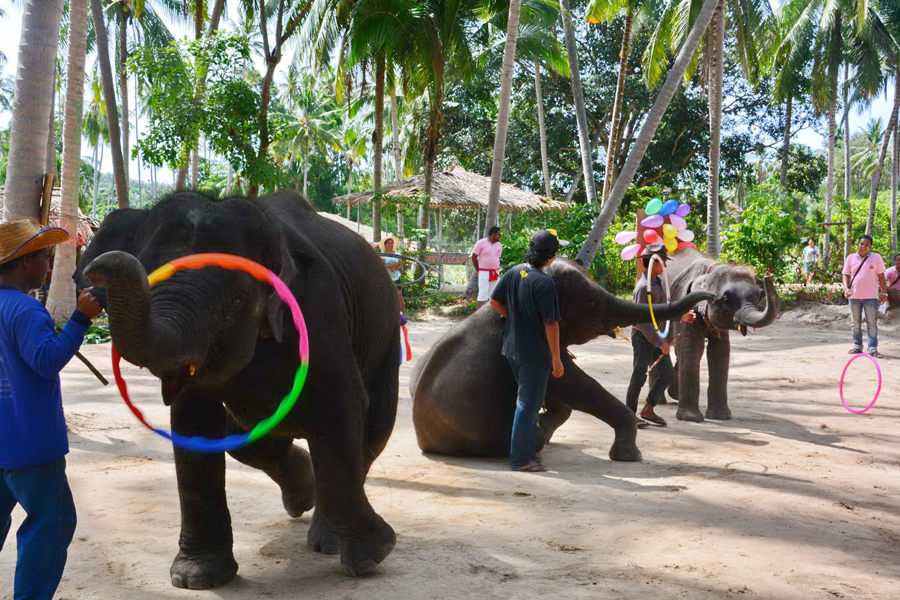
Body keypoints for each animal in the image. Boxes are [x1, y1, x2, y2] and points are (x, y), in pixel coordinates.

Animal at [75, 193, 400, 592]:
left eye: (234, 302)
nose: (97, 272)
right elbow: (193, 422)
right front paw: (196, 579)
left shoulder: (321, 312)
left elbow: (339, 406)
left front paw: (373, 556)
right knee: (247, 438)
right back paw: (302, 494)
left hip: (387, 335)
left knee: (372, 426)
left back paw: (327, 540)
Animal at [412, 260, 712, 462]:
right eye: (591, 304)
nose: (710, 295)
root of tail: (424, 441)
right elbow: (574, 385)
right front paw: (629, 456)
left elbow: (563, 397)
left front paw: (546, 418)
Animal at [660, 247, 780, 422]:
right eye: (726, 298)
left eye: (758, 297)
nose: (768, 275)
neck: (710, 271)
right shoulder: (686, 303)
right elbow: (693, 348)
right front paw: (690, 419)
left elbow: (720, 351)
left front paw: (720, 416)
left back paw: (674, 394)